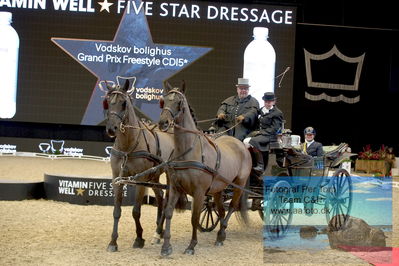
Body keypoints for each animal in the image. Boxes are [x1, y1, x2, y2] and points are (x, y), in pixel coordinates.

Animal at [103, 78, 178, 251]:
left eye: (124, 103)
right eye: (107, 102)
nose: (111, 129)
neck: (128, 147)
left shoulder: (139, 181)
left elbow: (136, 211)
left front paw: (139, 238)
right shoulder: (117, 179)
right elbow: (116, 211)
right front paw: (113, 242)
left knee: (167, 199)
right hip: (153, 176)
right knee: (161, 196)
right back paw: (159, 232)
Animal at [158, 83, 252, 256]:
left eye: (179, 103)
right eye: (163, 101)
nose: (163, 122)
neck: (188, 150)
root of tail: (241, 145)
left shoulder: (199, 192)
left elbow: (194, 218)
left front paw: (191, 246)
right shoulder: (175, 187)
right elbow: (168, 213)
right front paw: (166, 246)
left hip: (238, 185)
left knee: (232, 207)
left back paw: (221, 234)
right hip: (218, 189)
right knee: (221, 210)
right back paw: (220, 236)